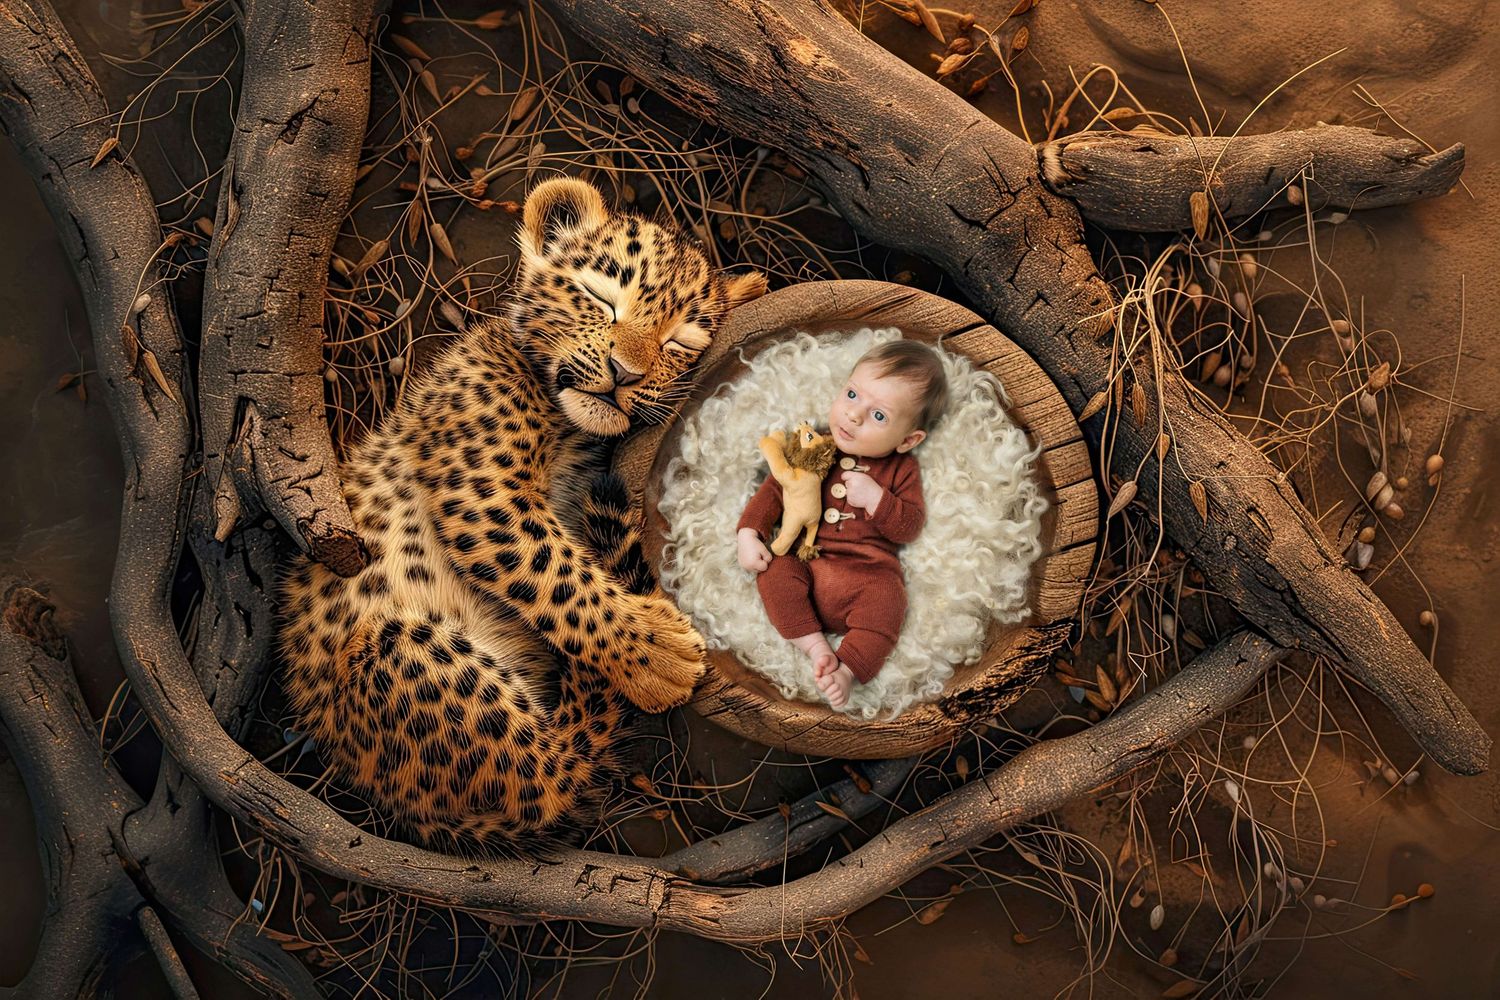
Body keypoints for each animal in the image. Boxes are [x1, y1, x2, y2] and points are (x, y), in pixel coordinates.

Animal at [277, 177, 767, 851]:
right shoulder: (480, 484)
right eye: (600, 297)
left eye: (680, 343)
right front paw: (657, 653)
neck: (570, 428)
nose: (624, 373)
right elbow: (552, 568)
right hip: (397, 653)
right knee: (556, 768)